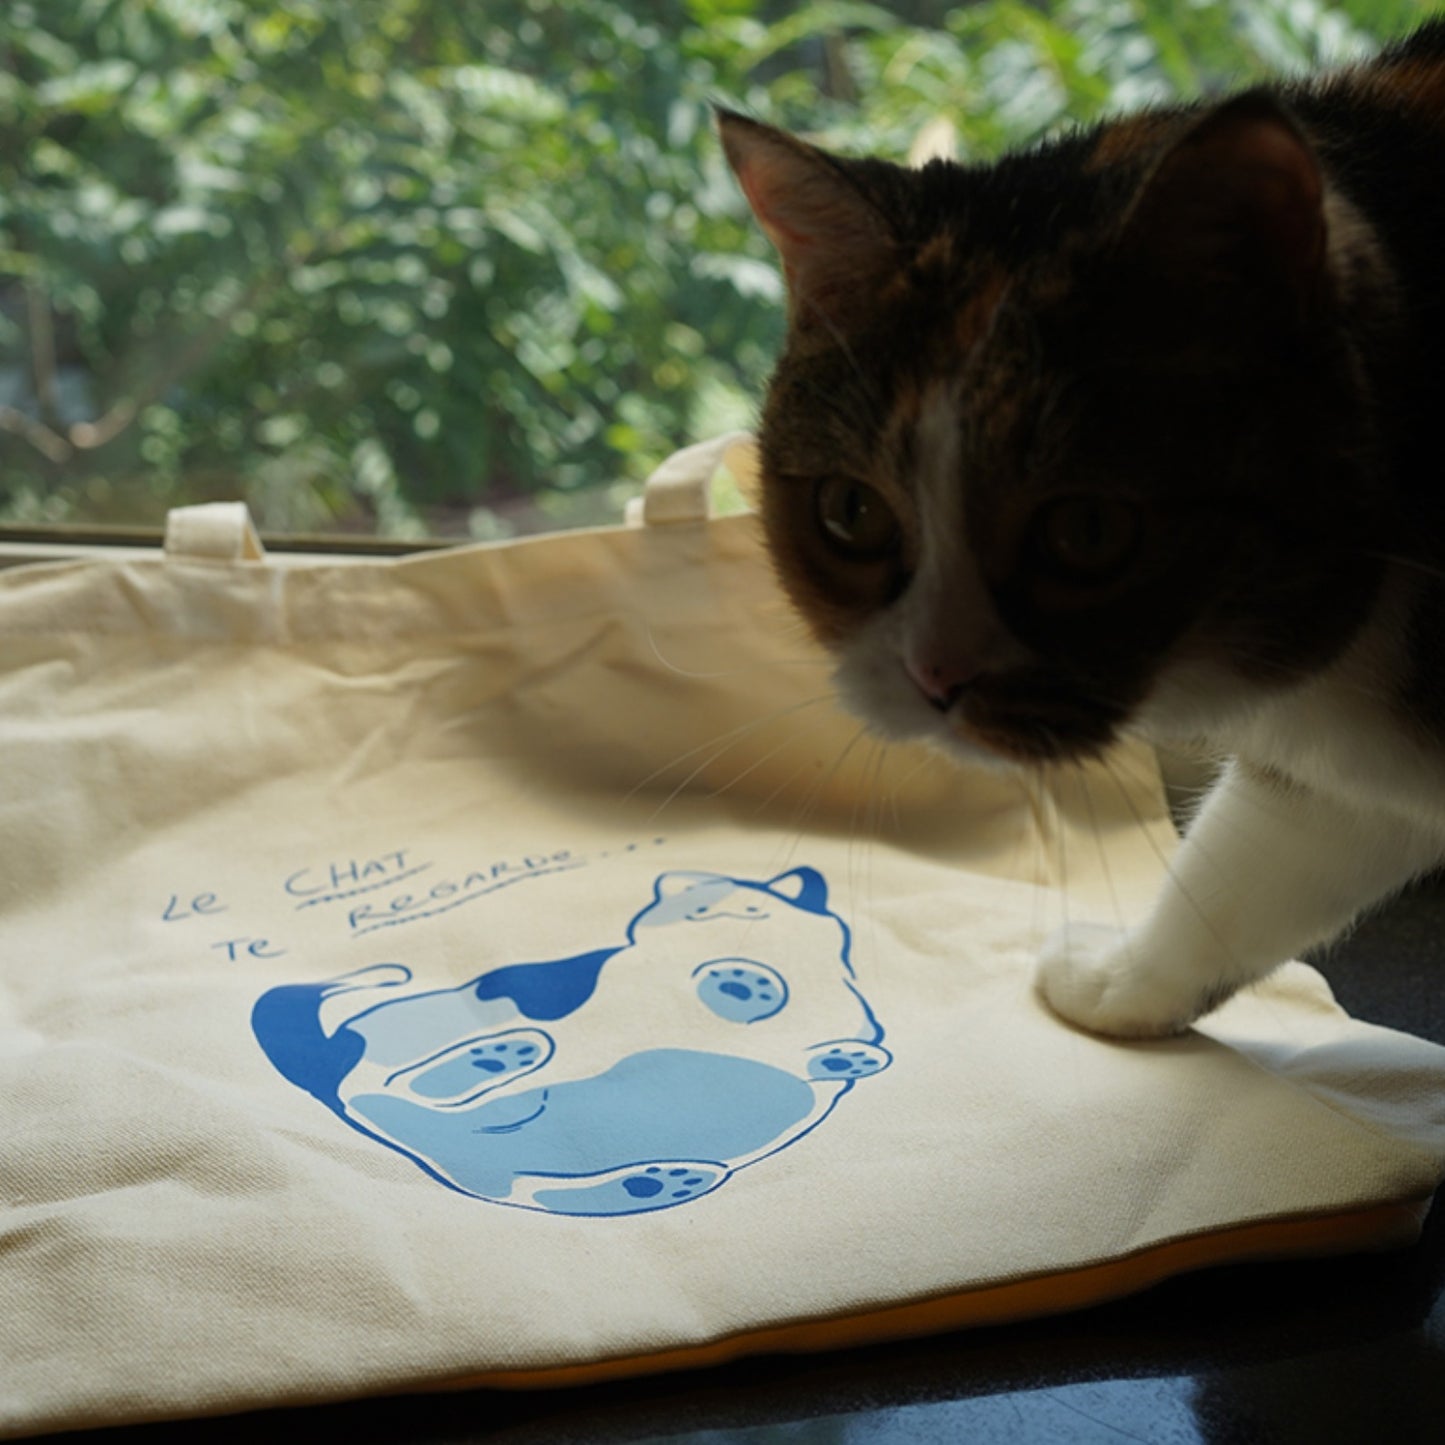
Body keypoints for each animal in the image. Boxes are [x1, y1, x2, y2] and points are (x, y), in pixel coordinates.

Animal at [716, 22, 1445, 1040]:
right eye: (851, 512)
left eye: (1089, 529)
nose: (932, 677)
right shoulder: (1342, 774)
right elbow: (1252, 864)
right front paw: (1116, 982)